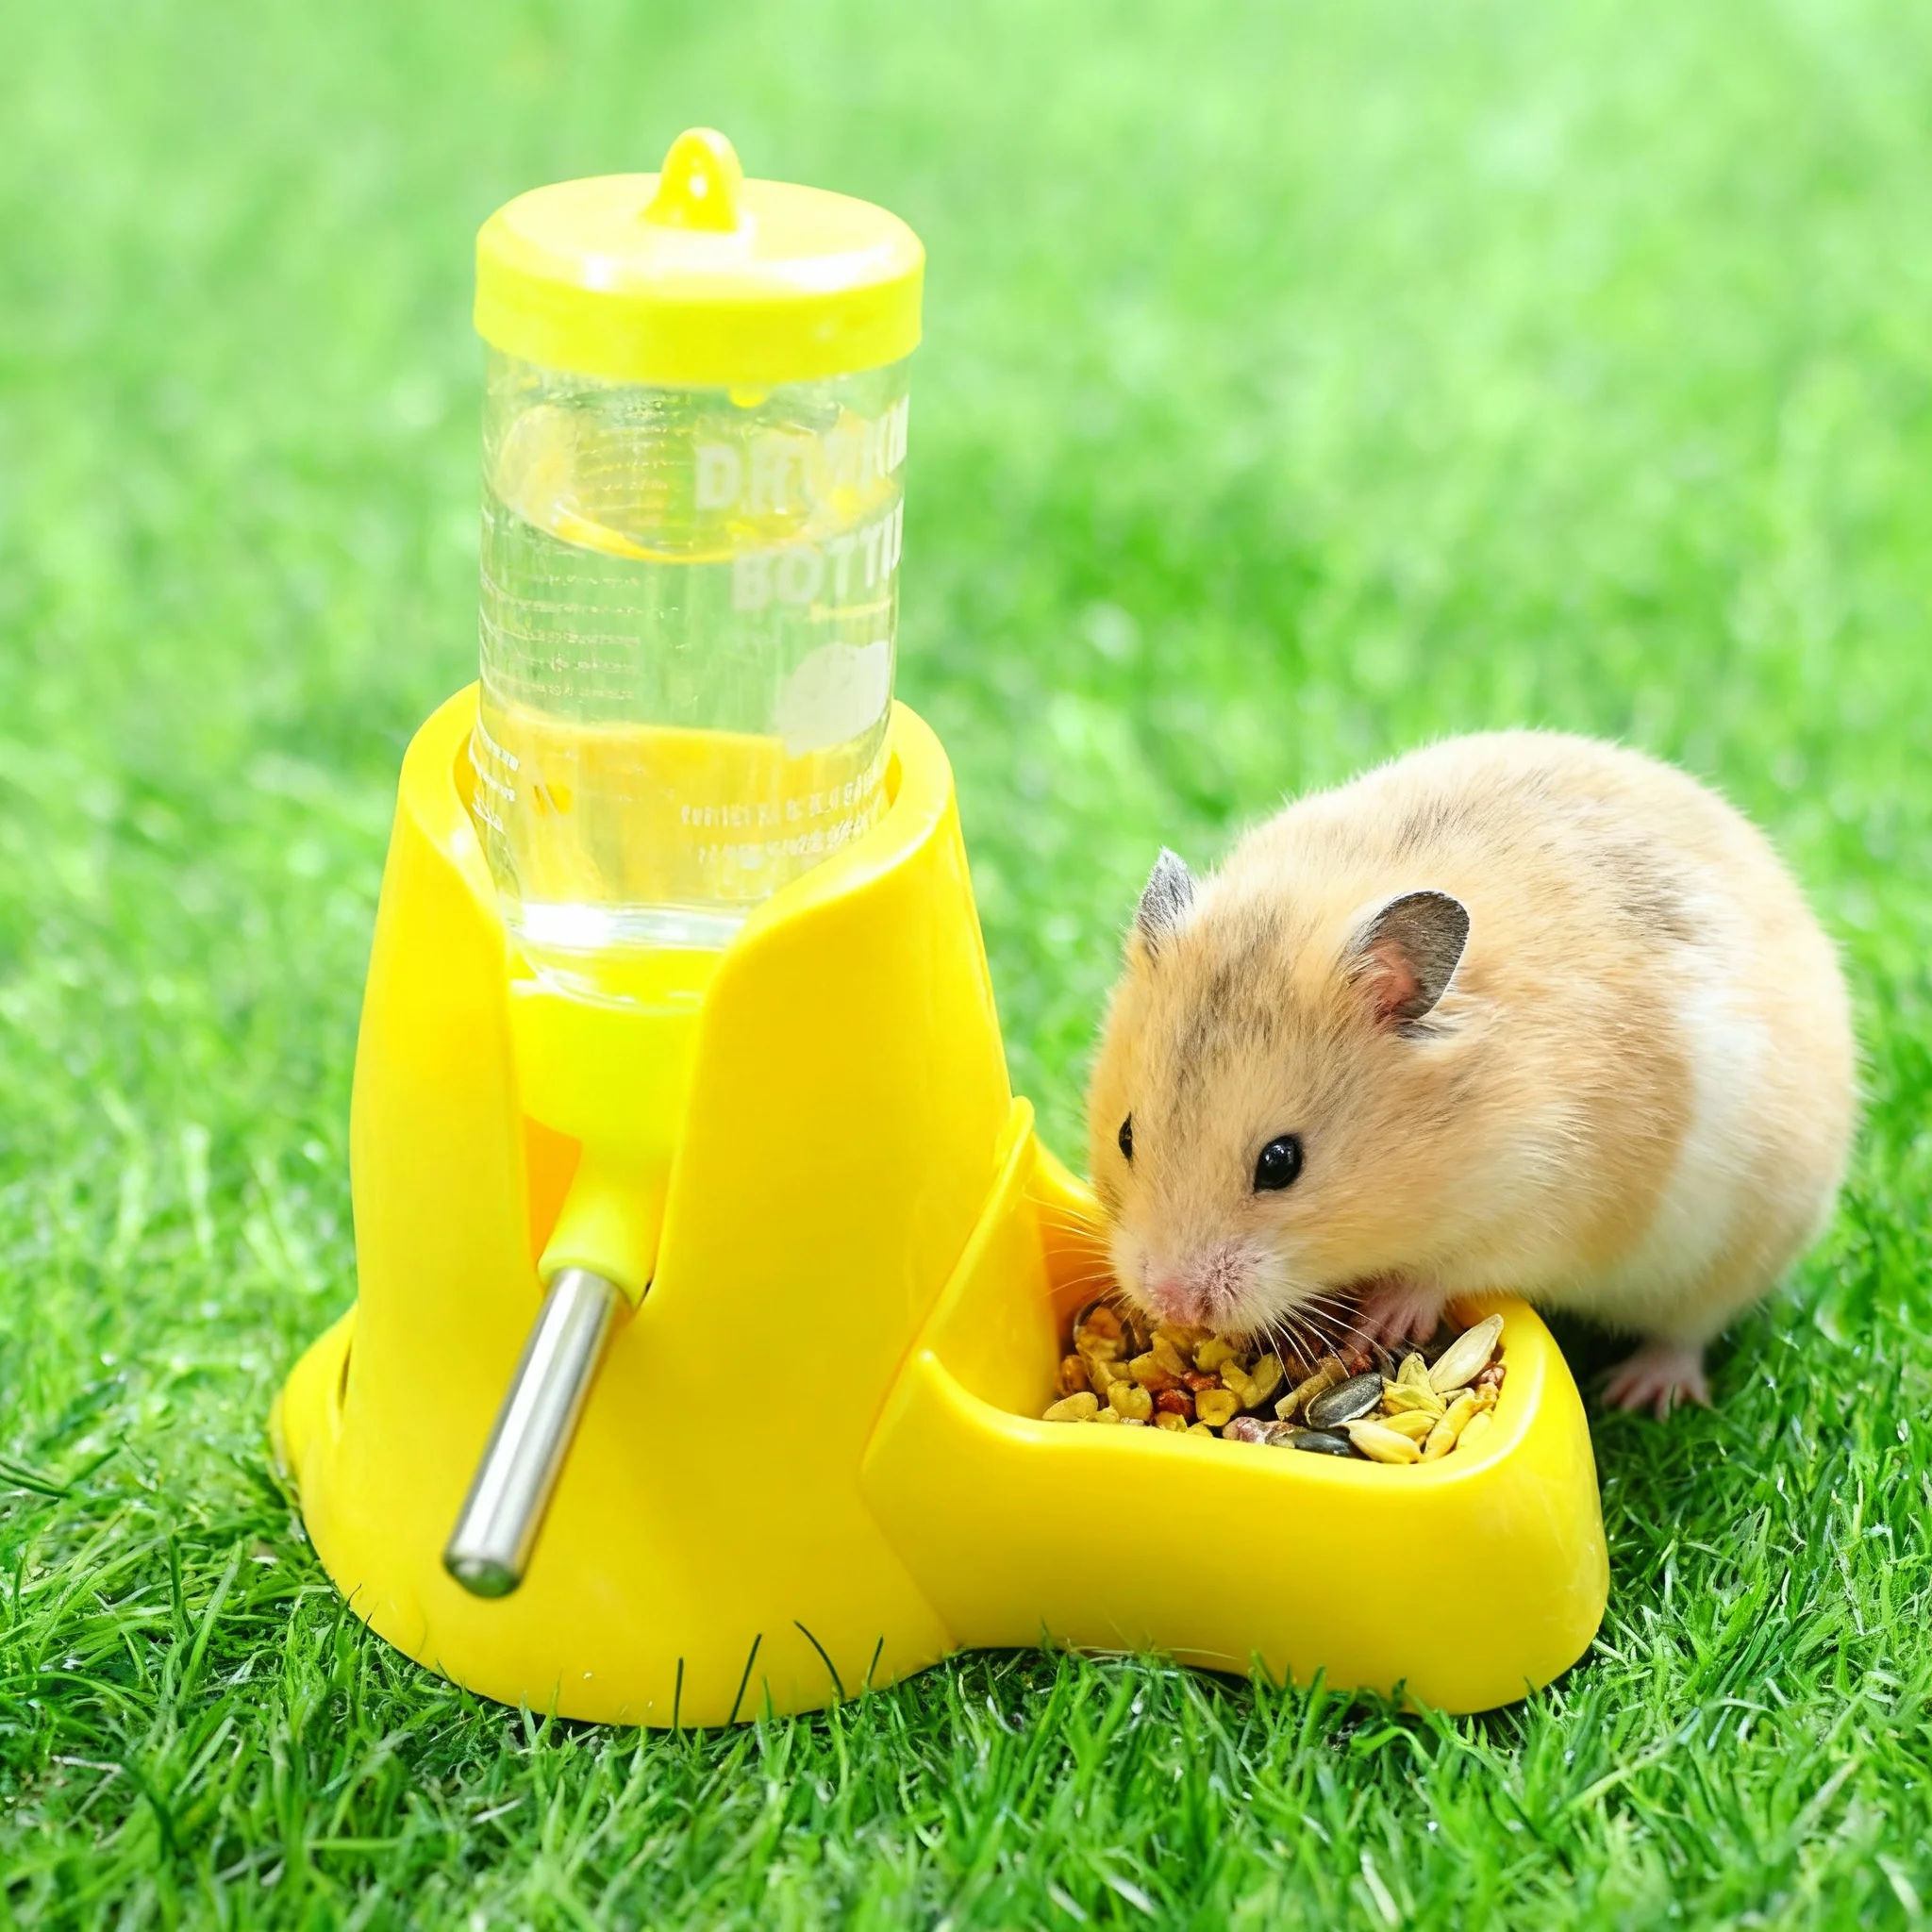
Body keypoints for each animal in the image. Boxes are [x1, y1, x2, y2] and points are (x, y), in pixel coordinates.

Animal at [1085, 731, 1855, 1417]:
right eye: (1125, 1137)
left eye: (1281, 1163)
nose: (1172, 1301)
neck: (1457, 1131)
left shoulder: (1541, 1200)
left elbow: (1447, 1268)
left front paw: (1381, 1321)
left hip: (1739, 1244)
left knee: (1688, 1332)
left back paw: (1642, 1392)